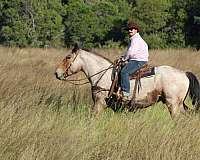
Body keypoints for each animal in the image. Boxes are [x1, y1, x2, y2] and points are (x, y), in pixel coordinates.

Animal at [54, 45, 200, 117]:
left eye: (68, 57)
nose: (57, 73)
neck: (102, 74)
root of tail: (184, 73)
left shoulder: (99, 103)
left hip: (173, 104)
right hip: (178, 104)